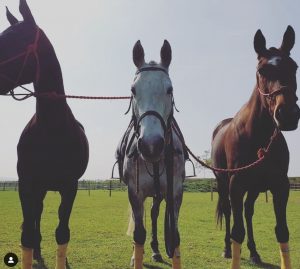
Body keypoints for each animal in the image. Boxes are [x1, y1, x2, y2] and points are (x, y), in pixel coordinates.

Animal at [0, 1, 89, 266]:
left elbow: (62, 232)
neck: (51, 127)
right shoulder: (26, 184)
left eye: (11, 40)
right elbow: (28, 234)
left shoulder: (70, 187)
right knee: (36, 217)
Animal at [211, 25, 300, 268]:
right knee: (230, 212)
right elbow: (237, 231)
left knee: (248, 212)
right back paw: (226, 248)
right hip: (224, 184)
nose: (288, 115)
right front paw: (232, 250)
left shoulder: (280, 186)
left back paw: (253, 252)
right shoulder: (236, 184)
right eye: (262, 70)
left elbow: (282, 231)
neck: (258, 137)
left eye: (294, 67)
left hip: (254, 188)